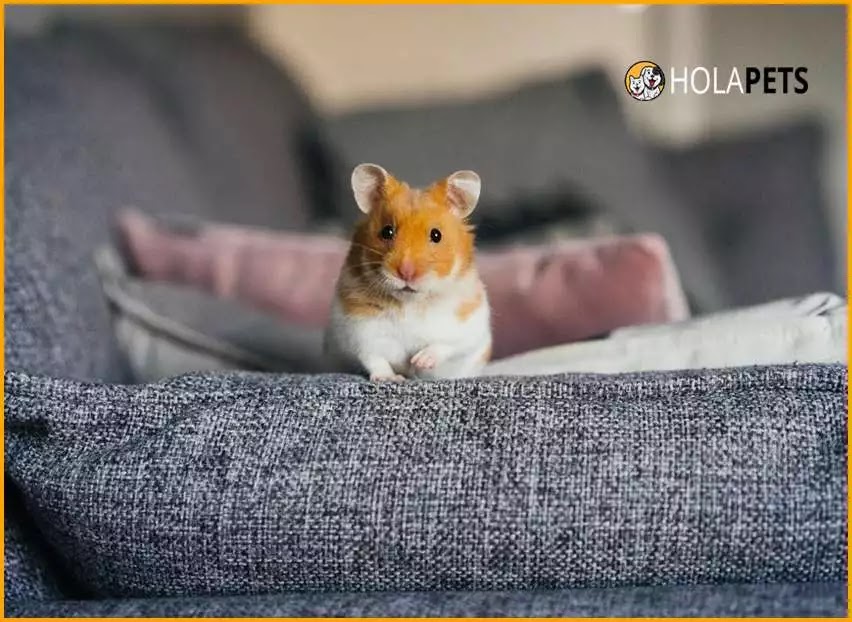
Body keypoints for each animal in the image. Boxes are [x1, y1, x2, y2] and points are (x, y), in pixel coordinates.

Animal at [324, 163, 492, 381]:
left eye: (436, 235)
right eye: (387, 231)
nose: (406, 272)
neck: (410, 302)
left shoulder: (468, 328)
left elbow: (446, 345)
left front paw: (419, 361)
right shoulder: (360, 332)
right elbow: (374, 358)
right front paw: (391, 378)